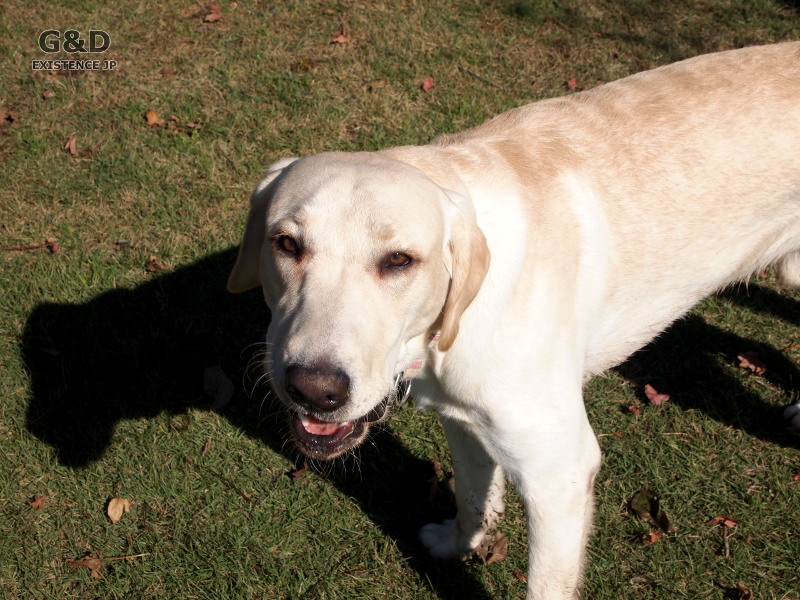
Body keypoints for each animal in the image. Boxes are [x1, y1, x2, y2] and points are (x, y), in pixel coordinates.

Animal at [228, 43, 800, 600]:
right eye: (286, 244)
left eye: (398, 260)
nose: (314, 390)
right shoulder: (462, 417)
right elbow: (472, 493)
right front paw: (459, 542)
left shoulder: (560, 473)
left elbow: (546, 581)